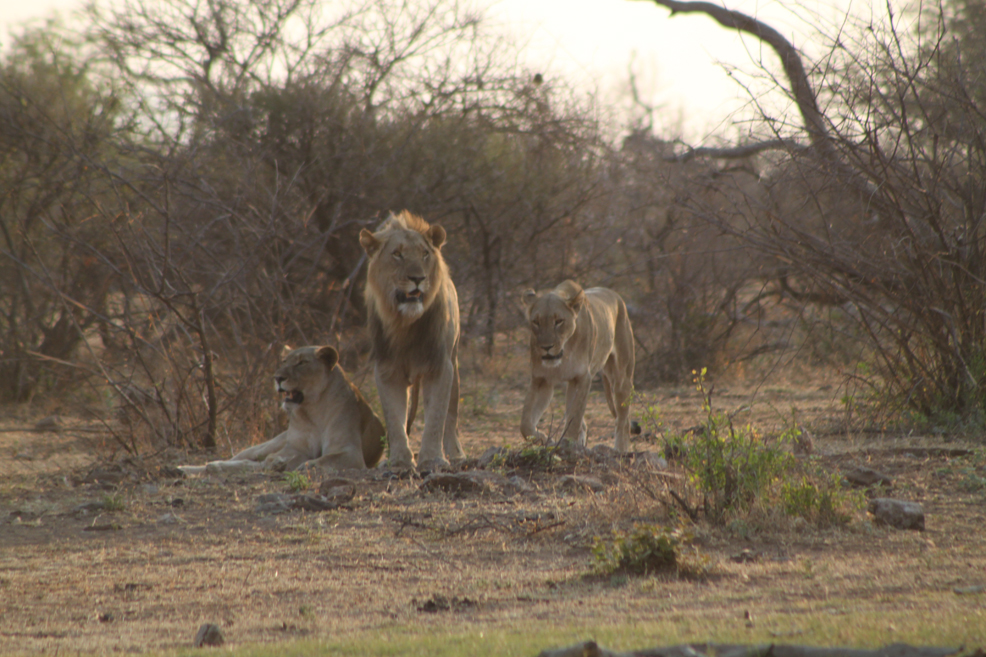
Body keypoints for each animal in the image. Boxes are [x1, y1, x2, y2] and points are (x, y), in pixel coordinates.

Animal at [177, 346, 380, 474]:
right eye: (284, 361)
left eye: (301, 363)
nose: (277, 378)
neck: (314, 409)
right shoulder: (295, 447)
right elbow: (290, 456)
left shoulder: (351, 453)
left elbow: (325, 459)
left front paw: (306, 466)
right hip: (268, 444)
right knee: (239, 458)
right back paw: (187, 469)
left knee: (251, 464)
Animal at [360, 210, 464, 472]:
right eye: (397, 254)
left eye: (425, 253)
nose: (418, 278)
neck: (405, 324)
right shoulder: (386, 369)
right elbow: (394, 417)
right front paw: (398, 461)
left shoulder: (440, 366)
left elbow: (437, 416)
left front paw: (433, 459)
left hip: (455, 361)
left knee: (451, 414)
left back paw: (456, 454)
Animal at [520, 280, 636, 454]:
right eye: (536, 322)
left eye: (558, 321)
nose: (546, 347)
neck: (565, 351)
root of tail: (615, 295)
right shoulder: (541, 380)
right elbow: (526, 424)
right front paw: (547, 440)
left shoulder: (581, 378)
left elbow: (574, 418)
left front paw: (567, 444)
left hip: (622, 377)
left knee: (623, 420)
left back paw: (620, 451)